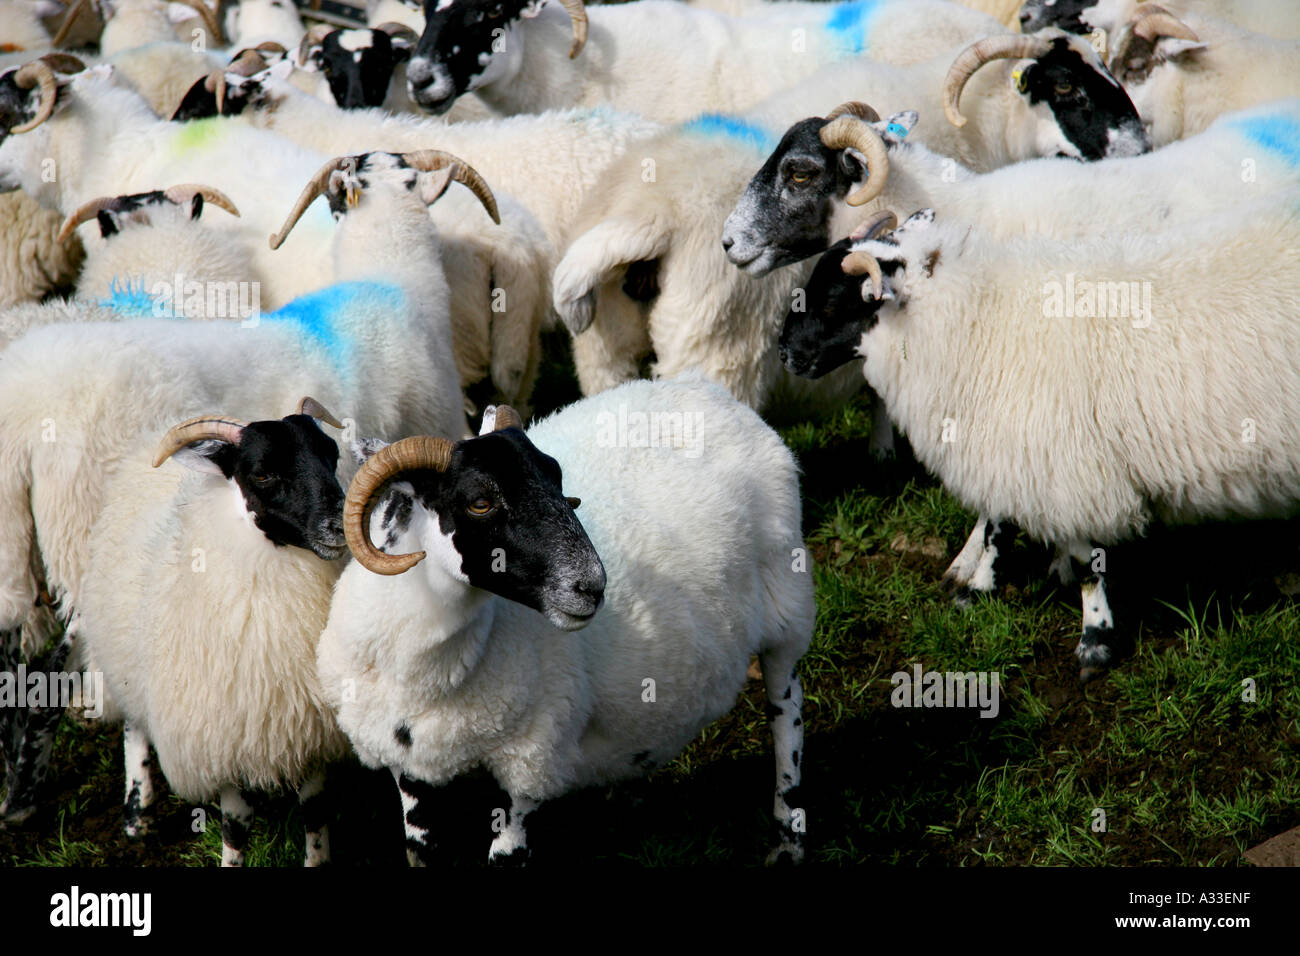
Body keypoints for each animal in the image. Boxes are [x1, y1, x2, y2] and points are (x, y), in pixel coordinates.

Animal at [317, 378, 814, 864]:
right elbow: (419, 848)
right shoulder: (407, 768)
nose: (593, 586)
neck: (423, 674)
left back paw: (787, 840)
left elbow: (507, 852)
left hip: (787, 606)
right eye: (480, 502)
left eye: (556, 478)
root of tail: (712, 391)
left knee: (786, 710)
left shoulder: (532, 763)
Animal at [778, 197, 1300, 677]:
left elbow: (1084, 561)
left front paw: (1094, 641)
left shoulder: (1067, 463)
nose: (783, 353)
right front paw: (981, 587)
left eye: (832, 303)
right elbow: (998, 519)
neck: (978, 320)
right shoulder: (1016, 442)